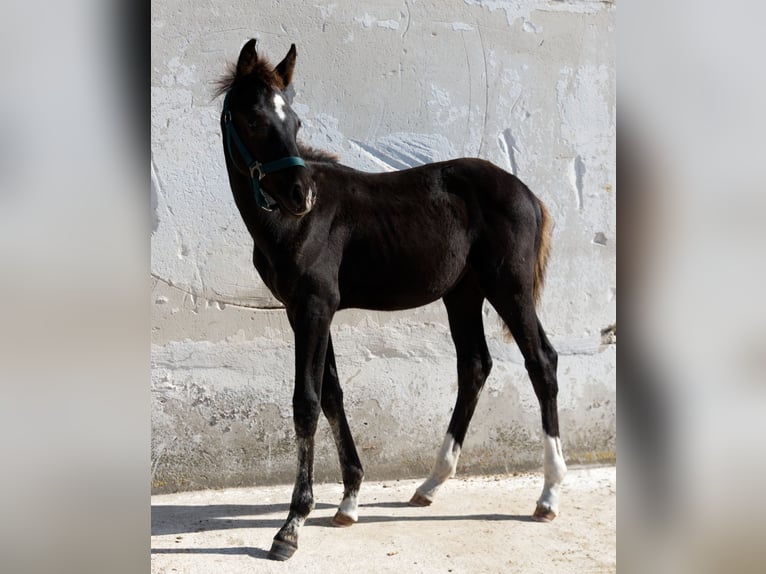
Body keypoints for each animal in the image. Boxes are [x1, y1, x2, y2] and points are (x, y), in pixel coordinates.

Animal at [216, 39, 568, 564]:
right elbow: (333, 395)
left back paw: (548, 495)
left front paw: (292, 526)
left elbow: (306, 401)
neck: (292, 225)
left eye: (294, 123)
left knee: (541, 361)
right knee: (475, 365)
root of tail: (526, 192)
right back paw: (430, 484)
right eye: (256, 121)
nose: (302, 195)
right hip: (463, 294)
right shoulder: (305, 311)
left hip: (510, 289)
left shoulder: (315, 307)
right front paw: (348, 502)